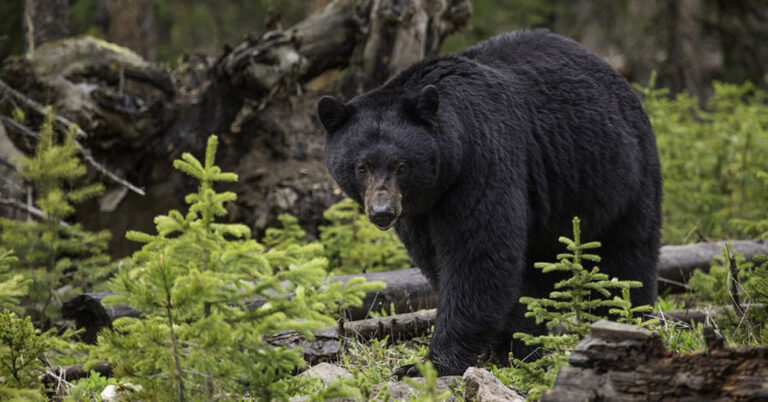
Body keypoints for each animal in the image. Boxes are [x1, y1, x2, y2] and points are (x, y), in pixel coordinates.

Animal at [317, 29, 661, 376]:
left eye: (401, 166)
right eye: (362, 166)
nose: (382, 212)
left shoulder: (482, 161)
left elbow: (478, 254)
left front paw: (430, 363)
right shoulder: (420, 210)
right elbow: (438, 258)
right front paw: (508, 346)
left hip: (621, 176)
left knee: (627, 257)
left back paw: (625, 321)